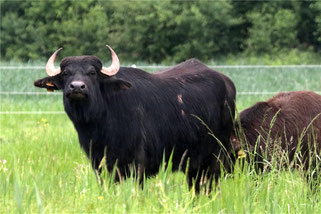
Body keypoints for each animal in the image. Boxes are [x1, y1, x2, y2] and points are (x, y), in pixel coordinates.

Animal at [34, 45, 235, 192]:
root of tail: (227, 82)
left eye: (92, 72)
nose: (77, 87)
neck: (101, 126)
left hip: (217, 156)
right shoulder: (100, 164)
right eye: (66, 73)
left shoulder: (139, 164)